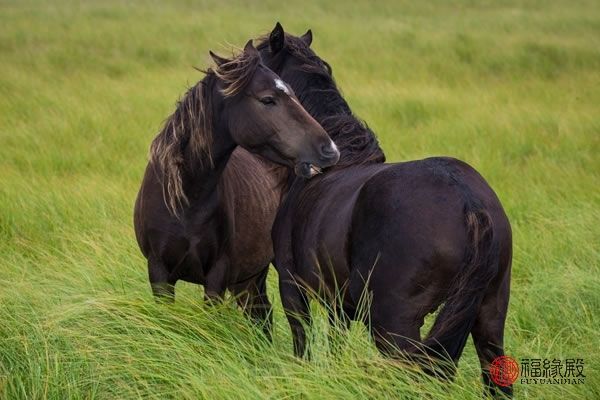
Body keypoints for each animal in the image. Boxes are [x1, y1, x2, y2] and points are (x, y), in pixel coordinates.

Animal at [256, 24, 510, 396]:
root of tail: (469, 201)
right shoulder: (340, 303)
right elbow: (335, 344)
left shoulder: (292, 287)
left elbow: (302, 344)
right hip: (489, 314)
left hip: (395, 324)